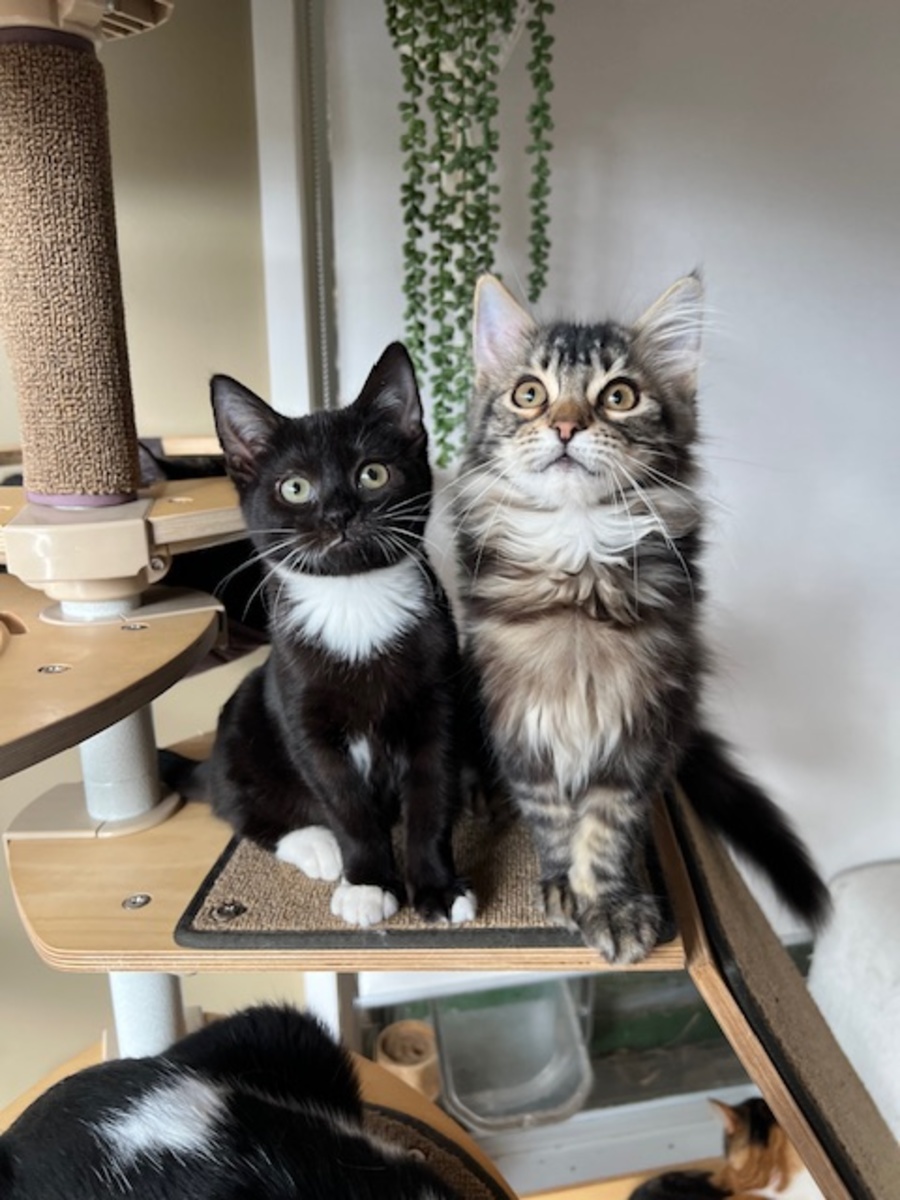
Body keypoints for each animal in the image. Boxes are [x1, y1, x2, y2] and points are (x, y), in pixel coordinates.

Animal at [162, 342, 475, 929]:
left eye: (372, 474)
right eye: (295, 487)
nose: (338, 514)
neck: (356, 602)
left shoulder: (440, 700)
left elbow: (432, 796)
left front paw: (438, 887)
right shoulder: (301, 710)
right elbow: (345, 804)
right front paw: (369, 882)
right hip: (247, 708)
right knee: (236, 804)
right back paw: (317, 846)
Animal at [452, 273, 830, 963]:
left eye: (619, 396)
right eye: (529, 394)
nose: (566, 425)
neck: (578, 569)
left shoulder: (642, 727)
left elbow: (607, 827)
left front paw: (610, 903)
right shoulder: (521, 722)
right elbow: (552, 818)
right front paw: (563, 885)